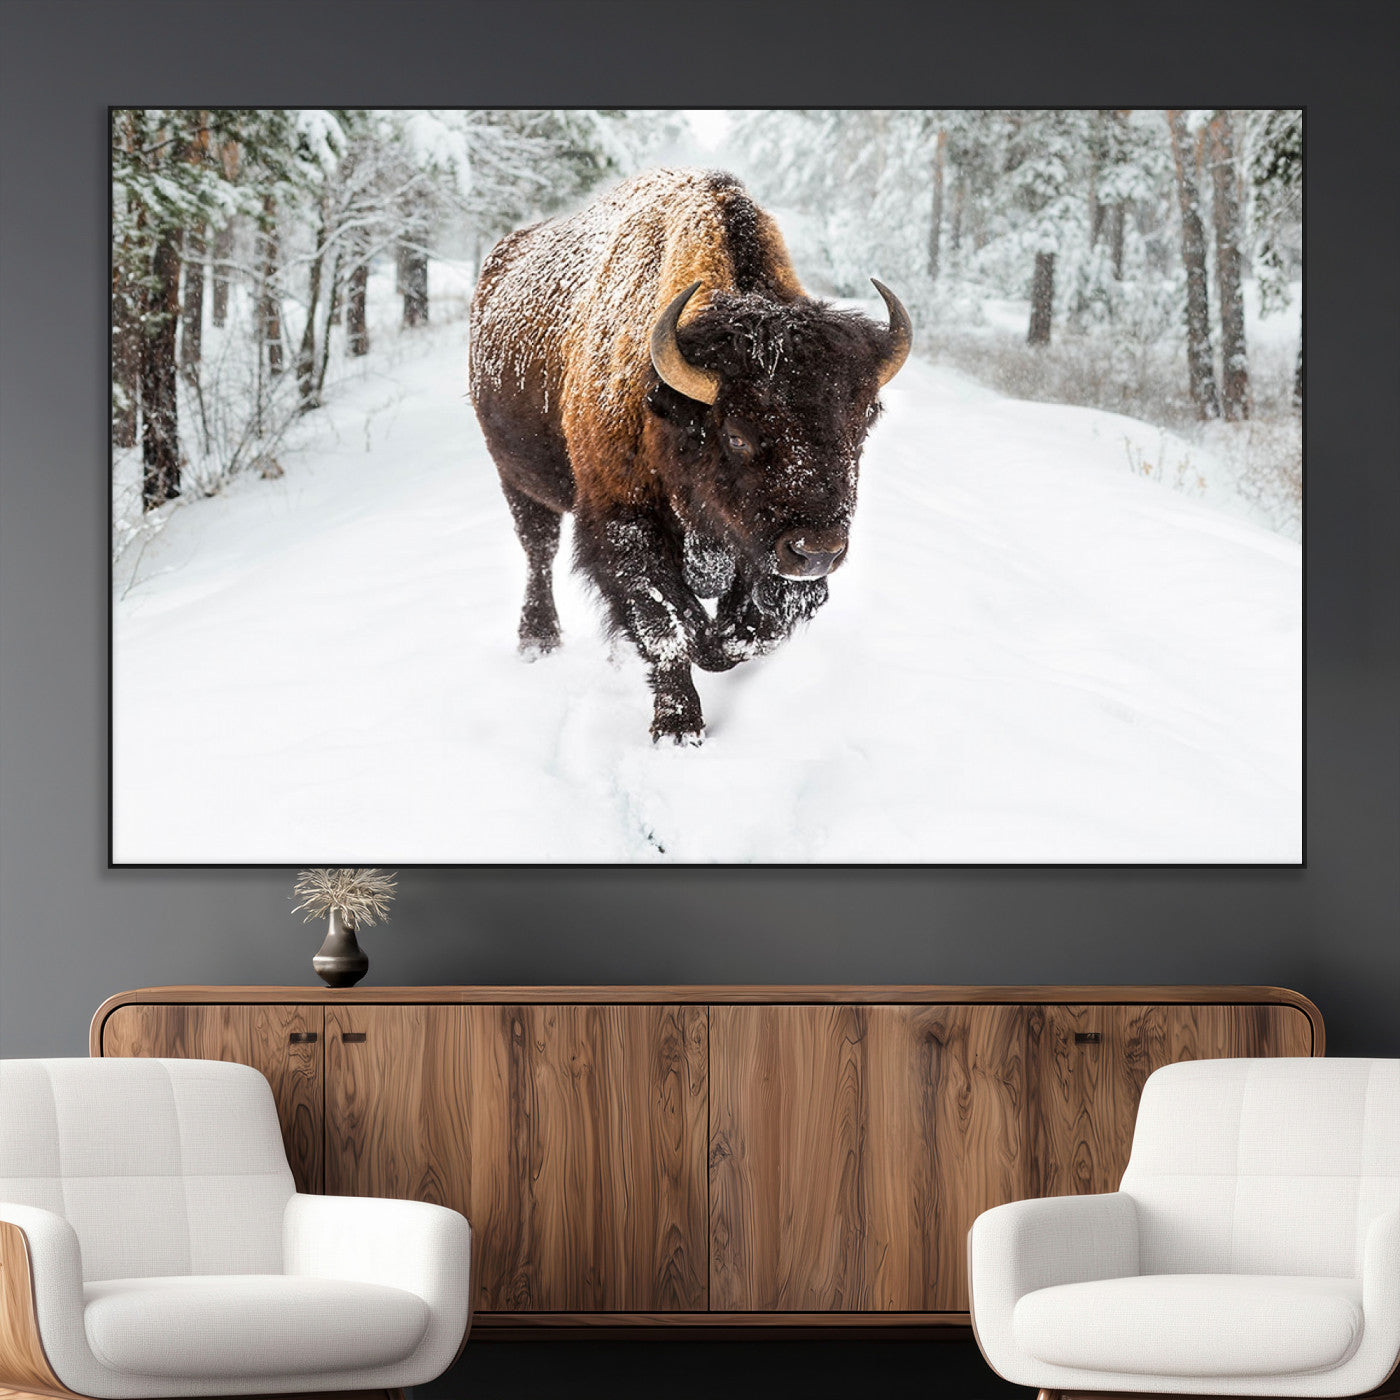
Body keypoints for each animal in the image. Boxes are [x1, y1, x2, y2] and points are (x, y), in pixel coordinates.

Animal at [469, 168, 910, 744]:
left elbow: (753, 628)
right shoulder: (623, 522)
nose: (817, 551)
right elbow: (667, 625)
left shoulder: (759, 551)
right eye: (737, 435)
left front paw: (716, 647)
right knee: (538, 550)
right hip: (517, 478)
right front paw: (678, 727)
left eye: (862, 424)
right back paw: (537, 639)